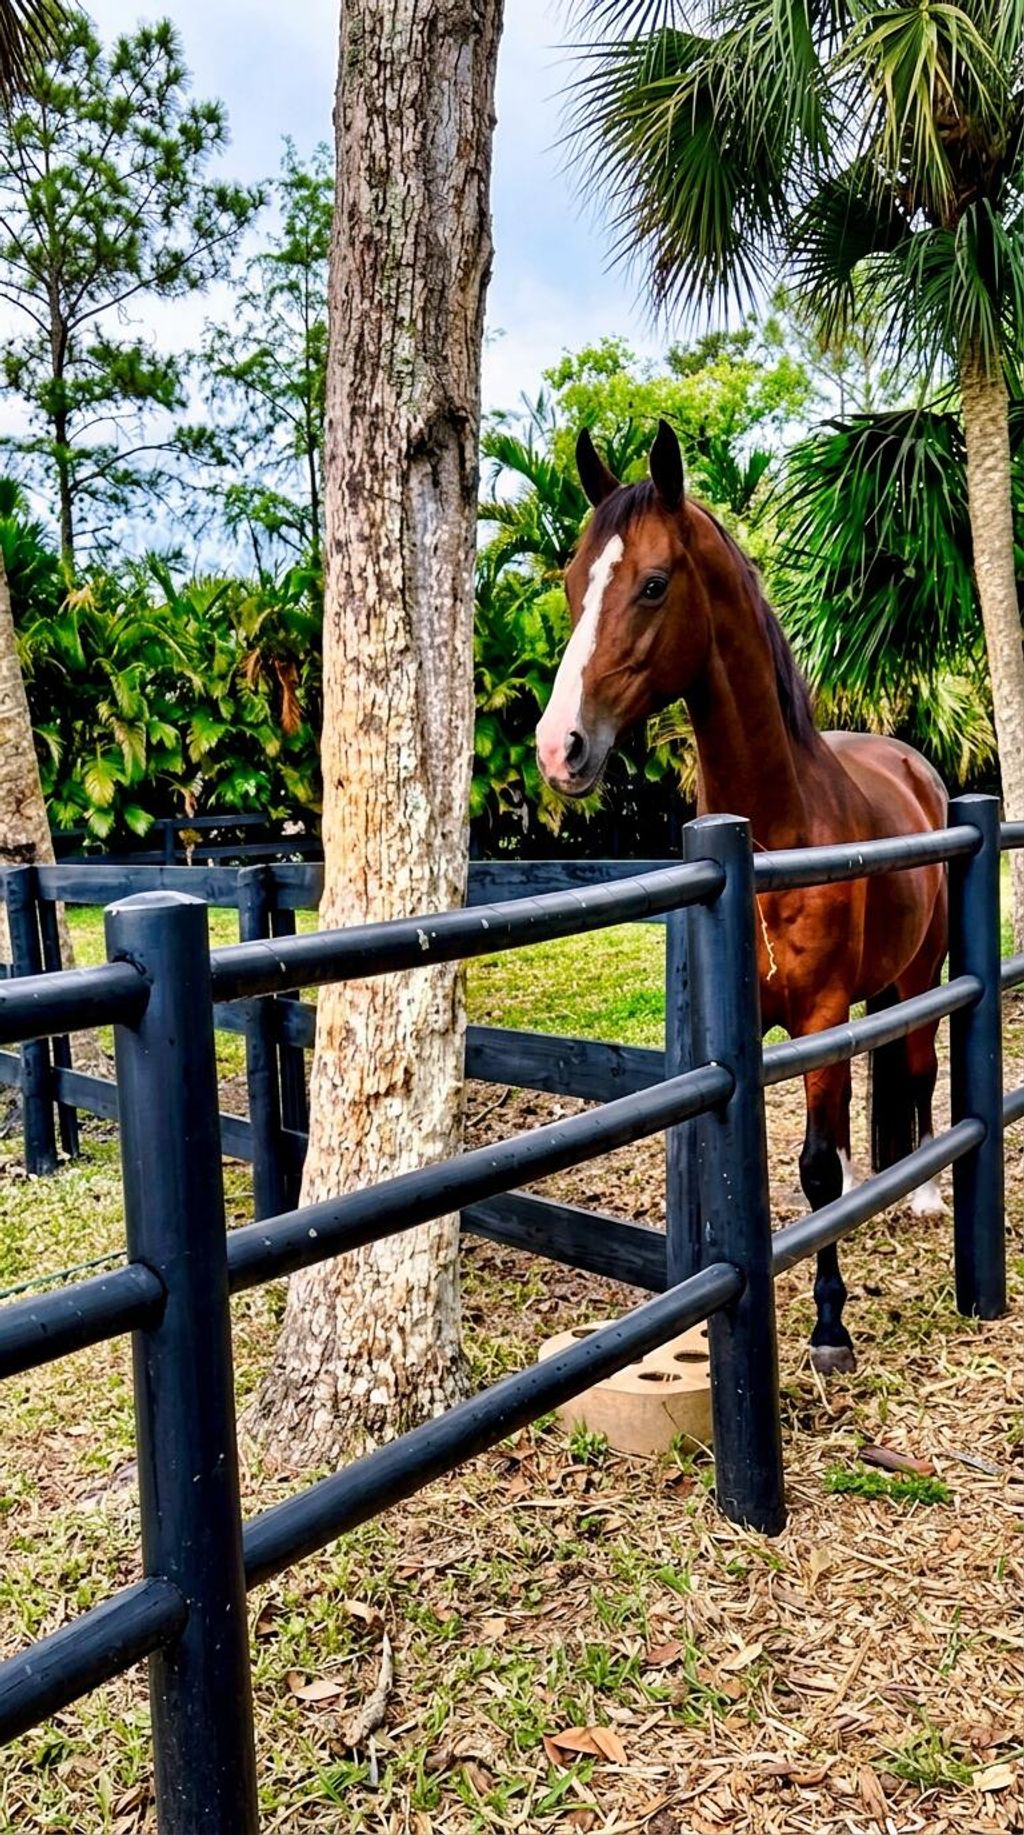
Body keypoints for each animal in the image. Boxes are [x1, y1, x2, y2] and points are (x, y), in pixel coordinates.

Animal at [535, 419, 948, 1374]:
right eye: (572, 584)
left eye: (653, 584)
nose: (556, 747)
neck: (776, 833)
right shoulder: (744, 1032)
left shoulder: (820, 1013)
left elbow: (816, 1166)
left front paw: (830, 1328)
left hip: (921, 974)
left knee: (918, 1068)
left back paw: (925, 1196)